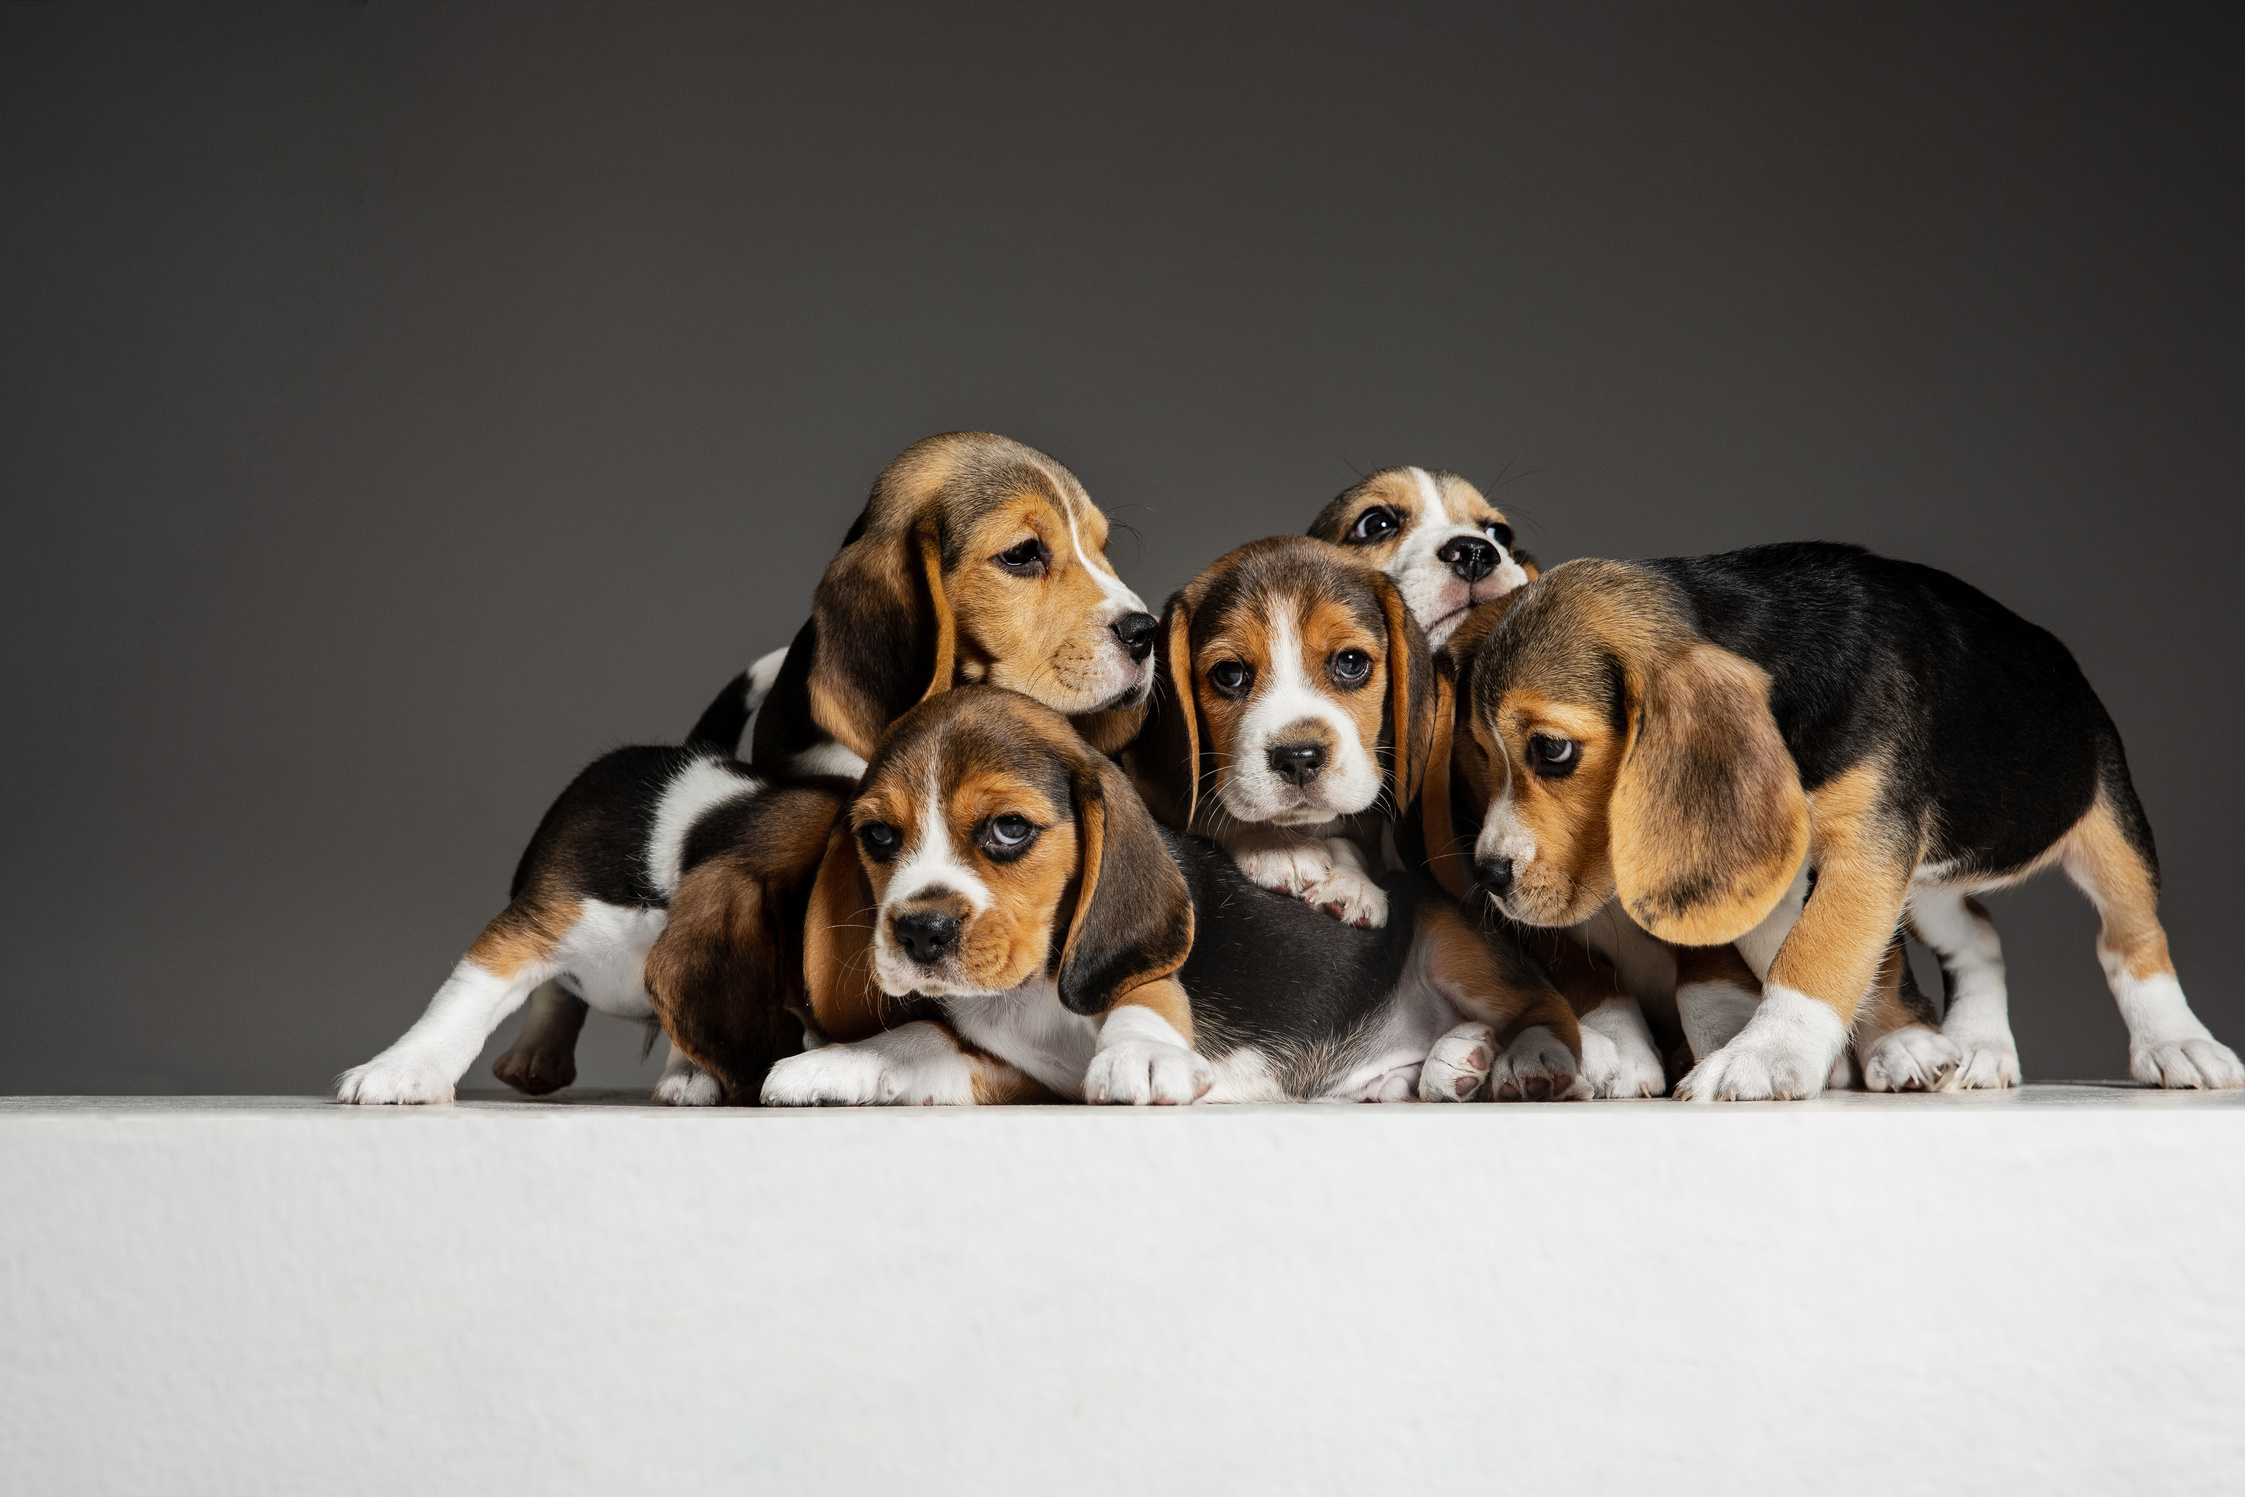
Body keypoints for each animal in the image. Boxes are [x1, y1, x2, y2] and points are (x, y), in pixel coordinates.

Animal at [754, 686, 1580, 1099]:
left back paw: (1520, 1056)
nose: (919, 931)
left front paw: (1140, 1053)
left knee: (1547, 1003)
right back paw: (1448, 1062)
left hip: (1447, 939)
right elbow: (920, 1039)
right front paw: (833, 1063)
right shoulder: (1015, 1071)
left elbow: (1144, 994)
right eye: (878, 837)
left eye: (1009, 829)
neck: (1029, 991)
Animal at [1131, 538, 1427, 929]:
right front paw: (1278, 844)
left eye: (1351, 662)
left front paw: (1351, 882)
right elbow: (1218, 811)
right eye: (1229, 673)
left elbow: (1356, 838)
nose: (1299, 759)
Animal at [1436, 540, 2245, 1099]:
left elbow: (1815, 950)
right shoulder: (1790, 869)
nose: (1489, 873)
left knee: (2130, 938)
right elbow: (1783, 948)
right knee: (1979, 934)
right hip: (1928, 885)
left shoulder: (1867, 848)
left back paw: (2176, 1043)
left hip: (2106, 823)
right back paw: (1981, 1044)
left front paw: (1763, 1056)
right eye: (1480, 753)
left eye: (1552, 750)